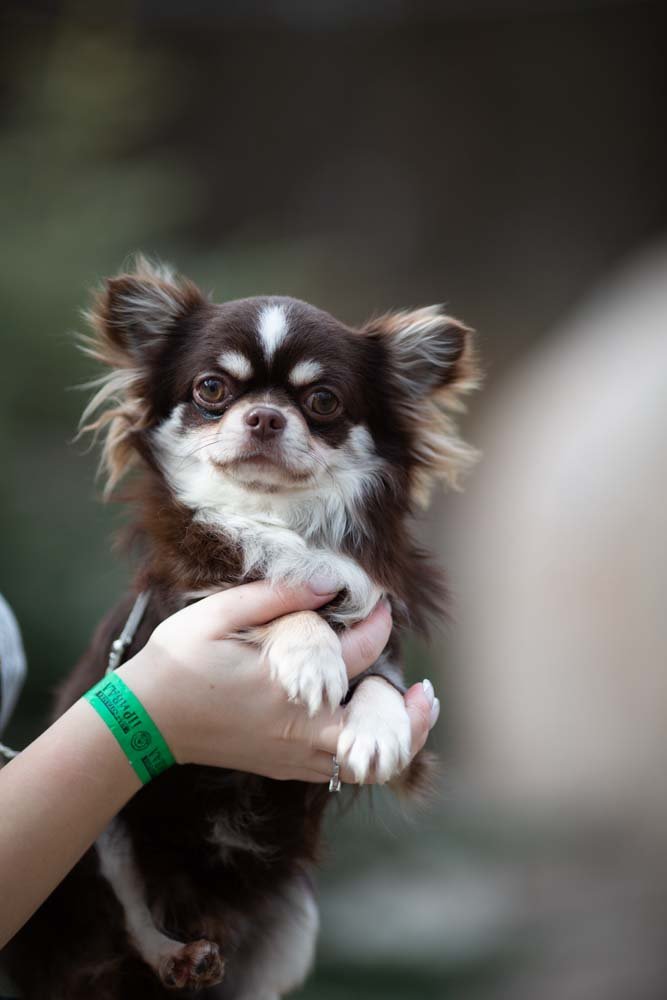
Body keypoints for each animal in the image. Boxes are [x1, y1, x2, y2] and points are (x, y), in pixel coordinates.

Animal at [5, 260, 480, 1000]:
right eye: (211, 388)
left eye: (322, 400)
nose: (262, 415)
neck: (274, 518)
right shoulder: (178, 609)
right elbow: (280, 599)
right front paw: (311, 654)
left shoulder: (381, 643)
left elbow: (380, 684)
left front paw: (377, 731)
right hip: (99, 833)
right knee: (131, 918)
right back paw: (176, 955)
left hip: (294, 921)